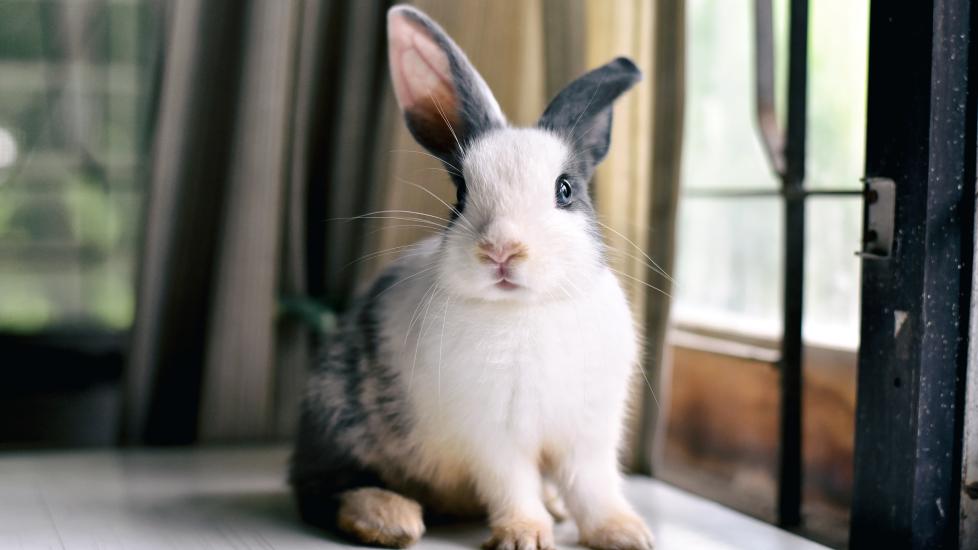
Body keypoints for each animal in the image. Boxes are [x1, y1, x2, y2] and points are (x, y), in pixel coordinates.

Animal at [290, 5, 652, 550]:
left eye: (565, 189)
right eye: (460, 193)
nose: (501, 250)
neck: (526, 310)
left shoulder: (588, 434)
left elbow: (594, 487)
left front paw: (626, 533)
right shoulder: (493, 436)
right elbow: (513, 485)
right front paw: (525, 536)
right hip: (340, 420)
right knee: (321, 490)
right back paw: (389, 516)